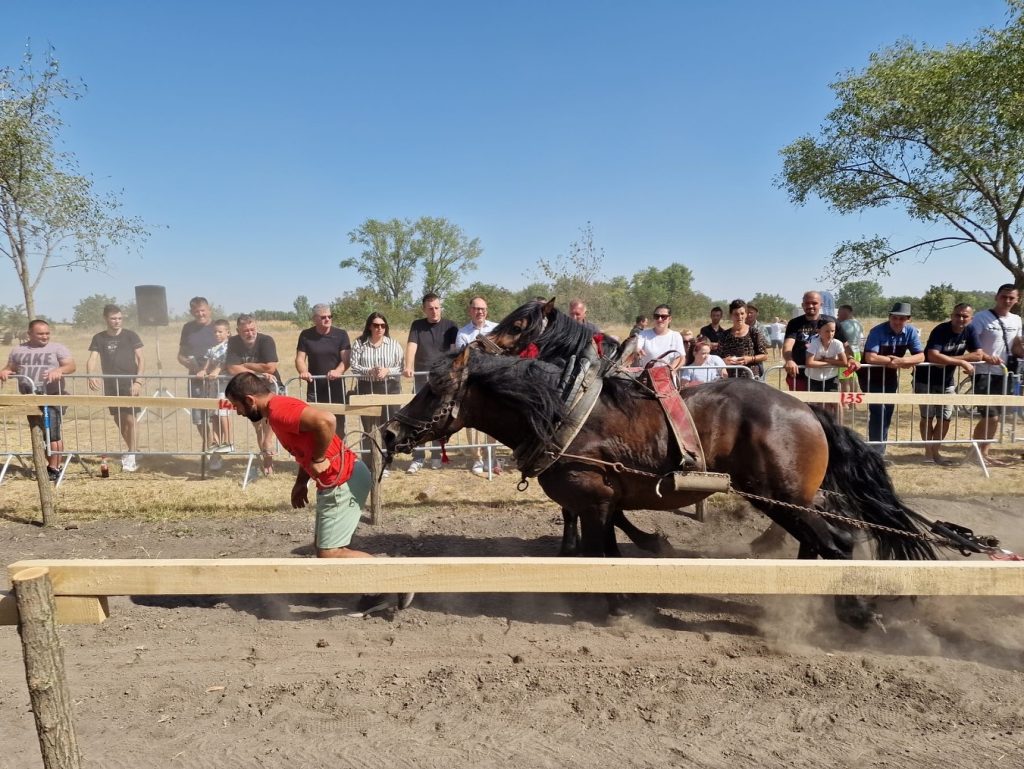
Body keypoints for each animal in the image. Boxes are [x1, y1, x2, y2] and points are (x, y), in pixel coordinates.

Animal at [385, 348, 942, 630]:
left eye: (434, 387)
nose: (389, 433)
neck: (564, 413)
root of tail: (808, 410)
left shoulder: (595, 500)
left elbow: (602, 556)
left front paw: (615, 605)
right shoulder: (600, 502)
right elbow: (601, 549)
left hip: (780, 497)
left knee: (837, 545)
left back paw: (856, 611)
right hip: (790, 500)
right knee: (821, 544)